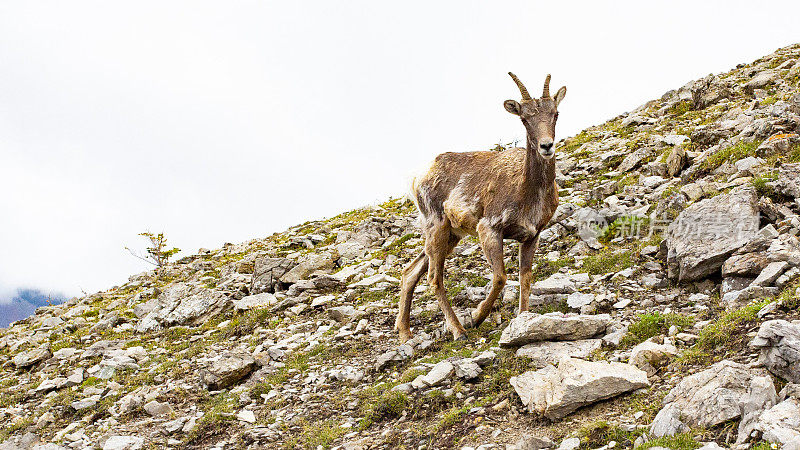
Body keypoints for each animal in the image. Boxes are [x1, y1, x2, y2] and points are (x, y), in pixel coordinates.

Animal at [396, 74, 564, 342]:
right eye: (524, 118)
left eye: (555, 113)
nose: (546, 146)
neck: (525, 190)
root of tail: (419, 177)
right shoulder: (489, 229)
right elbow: (500, 277)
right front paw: (476, 316)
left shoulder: (532, 235)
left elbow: (525, 276)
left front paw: (523, 319)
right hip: (436, 227)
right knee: (434, 278)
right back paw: (459, 330)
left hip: (451, 236)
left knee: (410, 272)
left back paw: (405, 332)